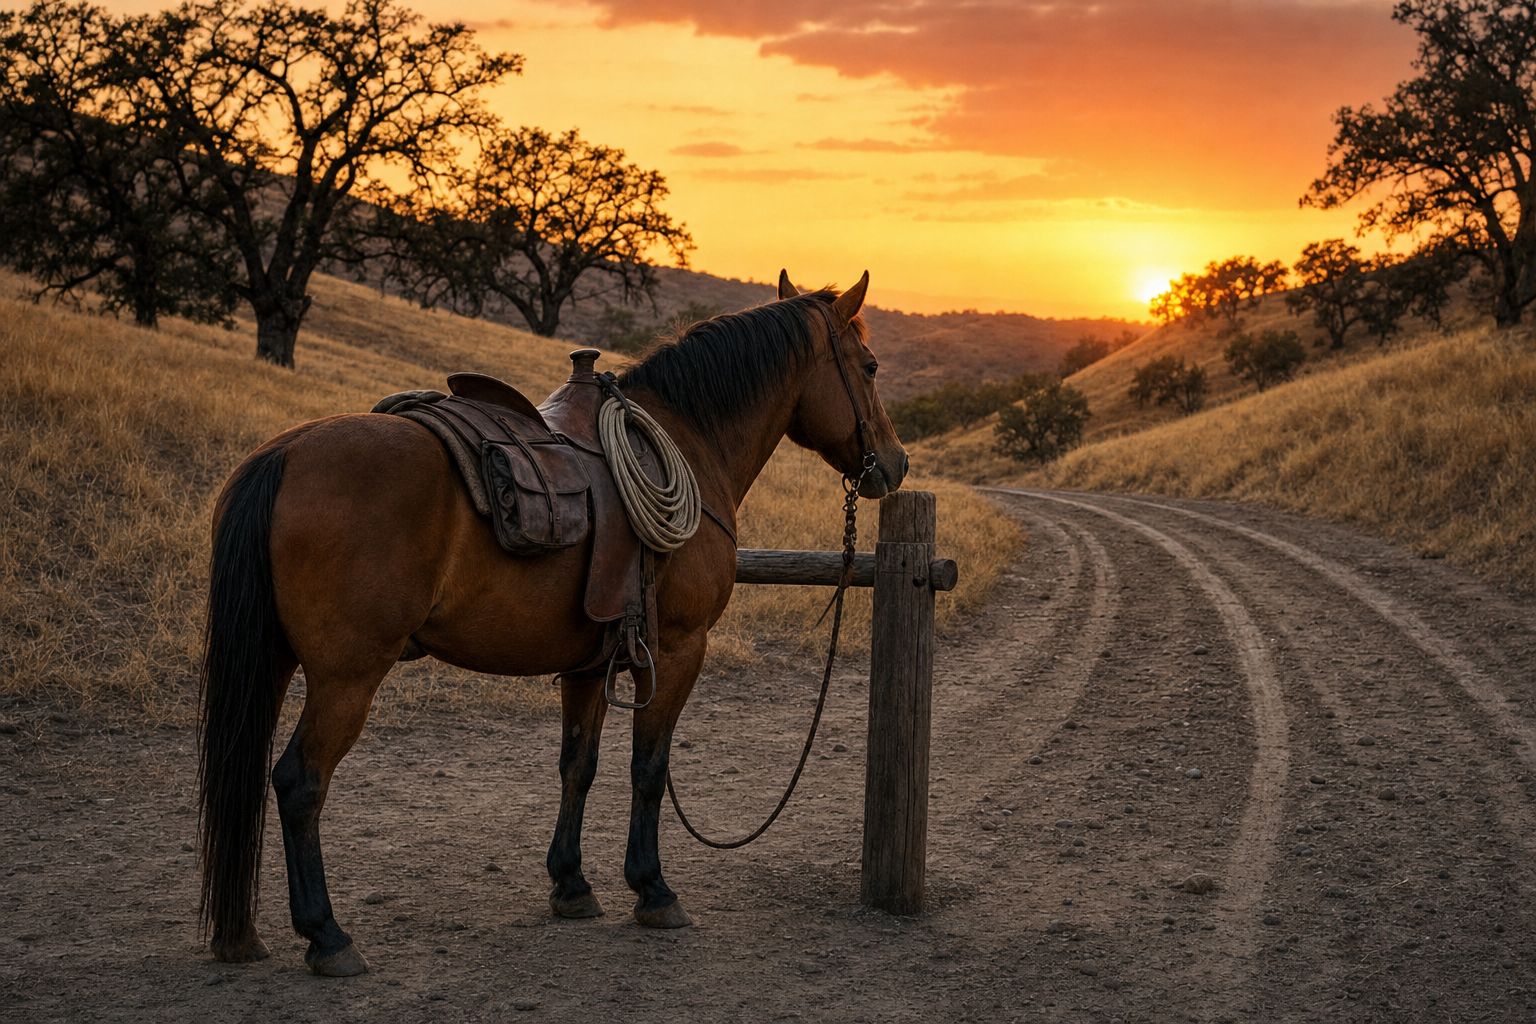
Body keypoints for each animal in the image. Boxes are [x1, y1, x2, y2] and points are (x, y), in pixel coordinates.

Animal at [198, 270, 909, 976]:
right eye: (870, 366)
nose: (895, 463)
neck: (685, 440)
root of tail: (286, 453)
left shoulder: (590, 663)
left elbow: (579, 765)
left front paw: (571, 884)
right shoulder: (680, 650)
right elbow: (648, 769)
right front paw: (653, 888)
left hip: (276, 662)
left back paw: (242, 934)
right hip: (346, 678)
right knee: (300, 782)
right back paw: (327, 935)